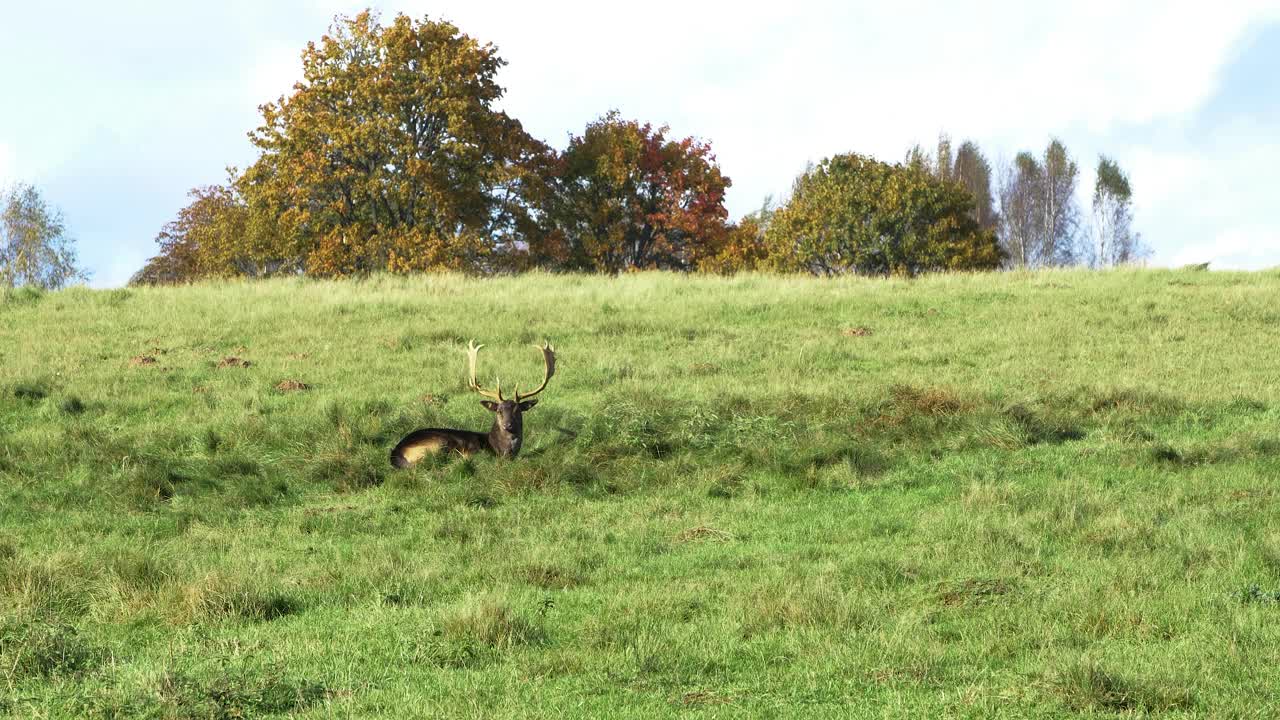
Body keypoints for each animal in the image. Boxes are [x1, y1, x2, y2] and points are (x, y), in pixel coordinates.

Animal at [384, 338, 555, 466]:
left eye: (517, 411)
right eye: (499, 411)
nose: (508, 425)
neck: (498, 450)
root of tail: (396, 453)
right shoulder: (473, 452)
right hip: (437, 443)